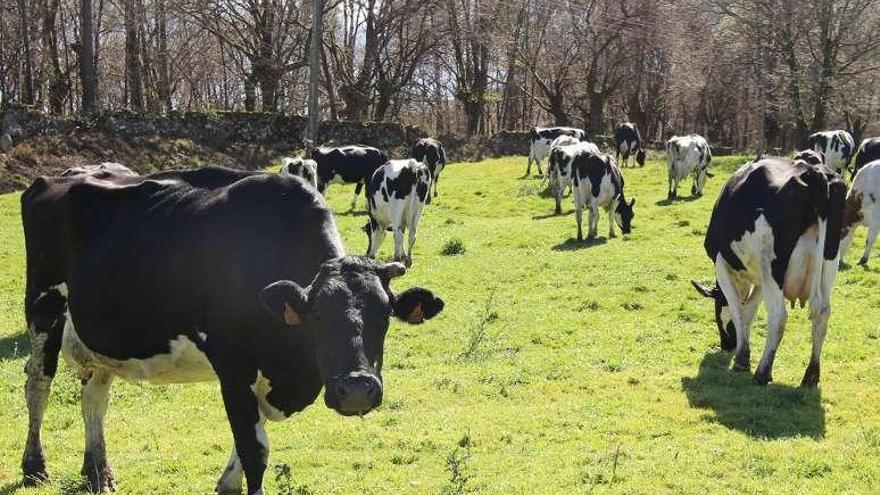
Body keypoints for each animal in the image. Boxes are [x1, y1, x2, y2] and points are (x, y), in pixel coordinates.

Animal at [18, 169, 446, 494]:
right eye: (318, 318)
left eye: (385, 316)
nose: (357, 389)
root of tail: (58, 176)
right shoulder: (233, 367)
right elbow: (255, 449)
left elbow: (249, 442)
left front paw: (227, 483)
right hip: (44, 306)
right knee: (38, 385)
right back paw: (34, 467)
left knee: (95, 395)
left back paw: (98, 472)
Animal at [692, 151, 848, 388]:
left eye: (717, 312)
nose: (726, 345)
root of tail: (815, 173)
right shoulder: (759, 278)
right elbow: (749, 311)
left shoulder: (722, 263)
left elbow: (738, 310)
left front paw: (742, 358)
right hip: (829, 260)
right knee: (822, 314)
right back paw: (811, 375)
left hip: (773, 267)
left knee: (779, 317)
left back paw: (763, 372)